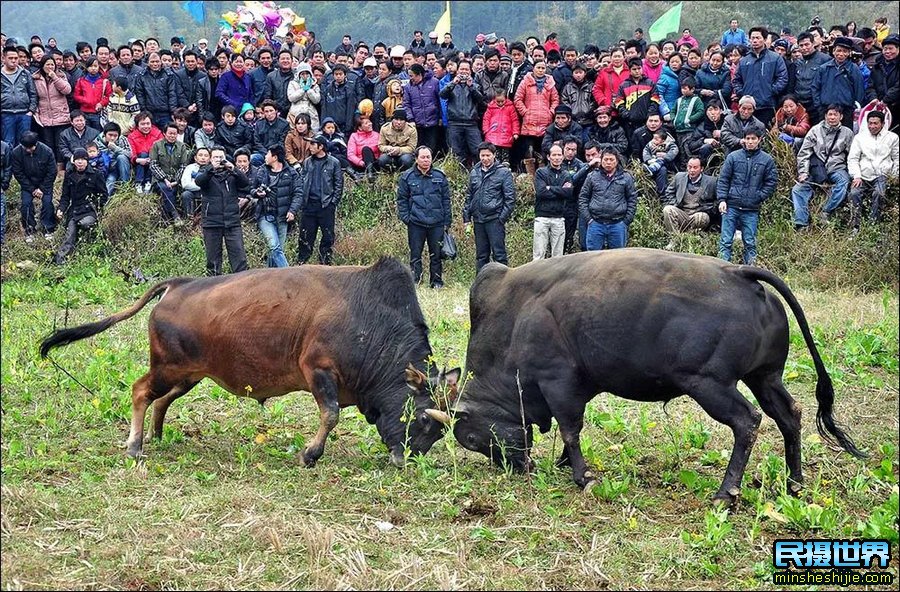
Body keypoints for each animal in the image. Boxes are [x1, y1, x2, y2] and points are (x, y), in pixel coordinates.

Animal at [40, 260, 458, 468]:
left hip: (190, 374)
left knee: (162, 400)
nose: (407, 461)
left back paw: (155, 435)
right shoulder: (318, 371)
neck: (371, 320)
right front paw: (310, 454)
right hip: (167, 368)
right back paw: (134, 445)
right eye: (424, 421)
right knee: (141, 391)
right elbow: (331, 415)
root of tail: (177, 285)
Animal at [432, 247, 868, 502]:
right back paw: (795, 483)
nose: (517, 468)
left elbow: (571, 429)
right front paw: (563, 463)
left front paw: (582, 475)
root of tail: (740, 273)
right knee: (789, 416)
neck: (516, 316)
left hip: (709, 384)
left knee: (748, 422)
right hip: (765, 377)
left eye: (472, 438)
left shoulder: (558, 382)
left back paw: (726, 492)